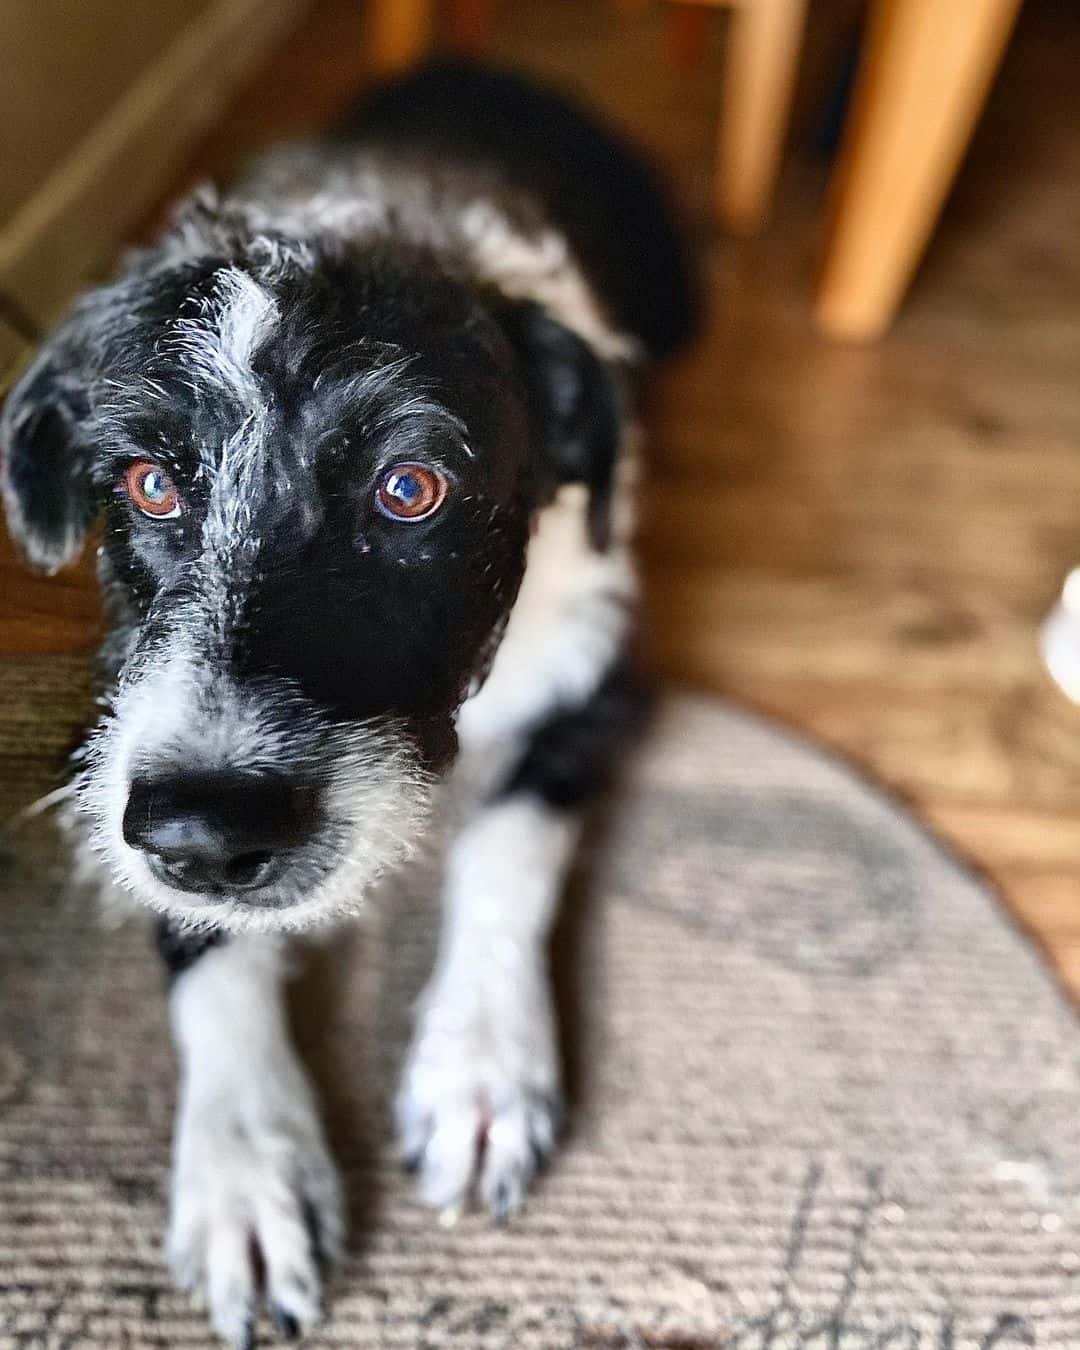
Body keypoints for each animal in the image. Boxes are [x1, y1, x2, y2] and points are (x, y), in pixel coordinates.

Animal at [0, 63, 696, 1350]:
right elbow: (203, 947)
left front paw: (479, 1066)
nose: (208, 835)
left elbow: (505, 843)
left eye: (410, 489)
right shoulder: (124, 757)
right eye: (149, 482)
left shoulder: (601, 681)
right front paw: (245, 1171)